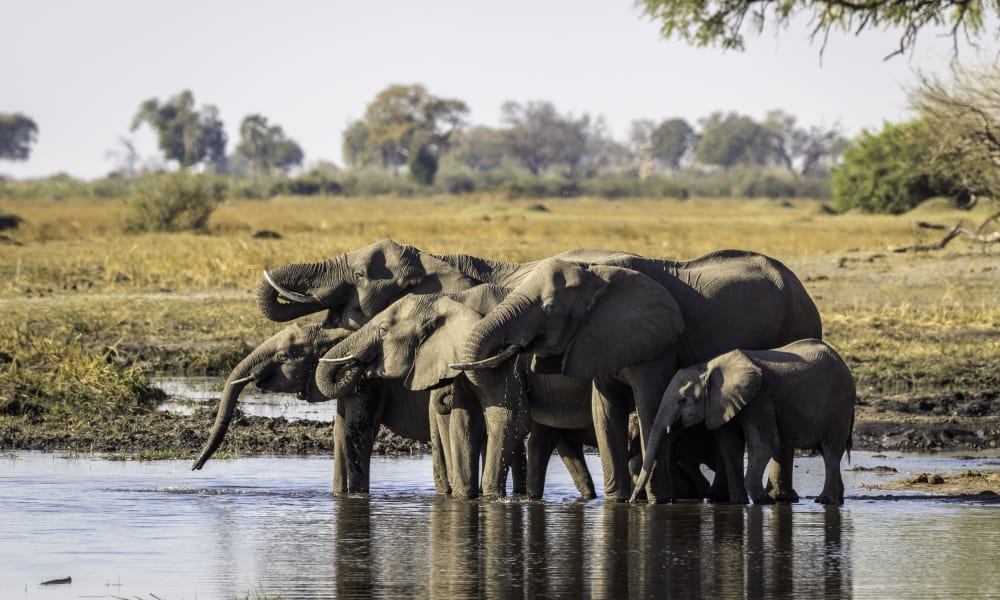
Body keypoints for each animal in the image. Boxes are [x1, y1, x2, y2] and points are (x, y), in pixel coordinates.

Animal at [189, 323, 452, 495]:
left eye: (284, 356)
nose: (195, 467)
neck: (339, 334)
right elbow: (340, 435)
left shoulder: (367, 381)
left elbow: (356, 433)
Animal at [315, 284, 599, 500]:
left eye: (383, 330)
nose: (361, 369)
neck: (452, 300)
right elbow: (463, 423)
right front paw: (464, 497)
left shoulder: (501, 362)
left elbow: (510, 421)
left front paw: (491, 498)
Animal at [454, 251, 822, 503]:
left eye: (550, 308)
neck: (597, 273)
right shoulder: (598, 338)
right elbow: (604, 414)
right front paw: (618, 501)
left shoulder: (656, 341)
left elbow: (649, 407)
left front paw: (656, 501)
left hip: (799, 326)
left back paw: (776, 499)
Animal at [633, 339, 856, 505]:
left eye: (682, 400)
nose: (632, 500)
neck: (707, 368)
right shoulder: (722, 405)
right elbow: (730, 446)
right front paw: (738, 502)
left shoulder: (759, 399)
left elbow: (765, 444)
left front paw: (764, 501)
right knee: (827, 452)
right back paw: (836, 500)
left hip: (838, 404)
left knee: (831, 450)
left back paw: (825, 501)